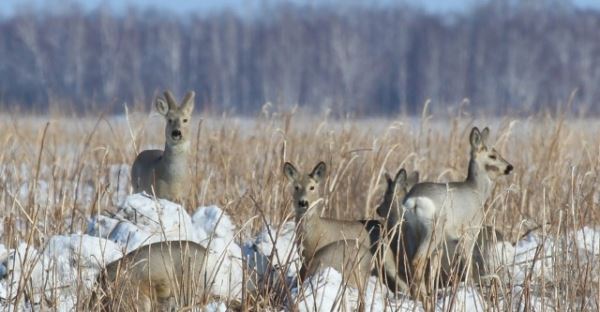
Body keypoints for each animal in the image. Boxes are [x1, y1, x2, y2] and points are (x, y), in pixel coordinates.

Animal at [400, 126, 512, 302]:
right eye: (493, 155)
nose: (509, 167)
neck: (477, 191)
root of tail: (415, 200)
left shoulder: (443, 244)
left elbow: (434, 269)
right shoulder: (470, 232)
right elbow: (468, 264)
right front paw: (471, 290)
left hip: (410, 230)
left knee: (411, 261)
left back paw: (418, 295)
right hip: (433, 230)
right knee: (418, 260)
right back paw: (421, 297)